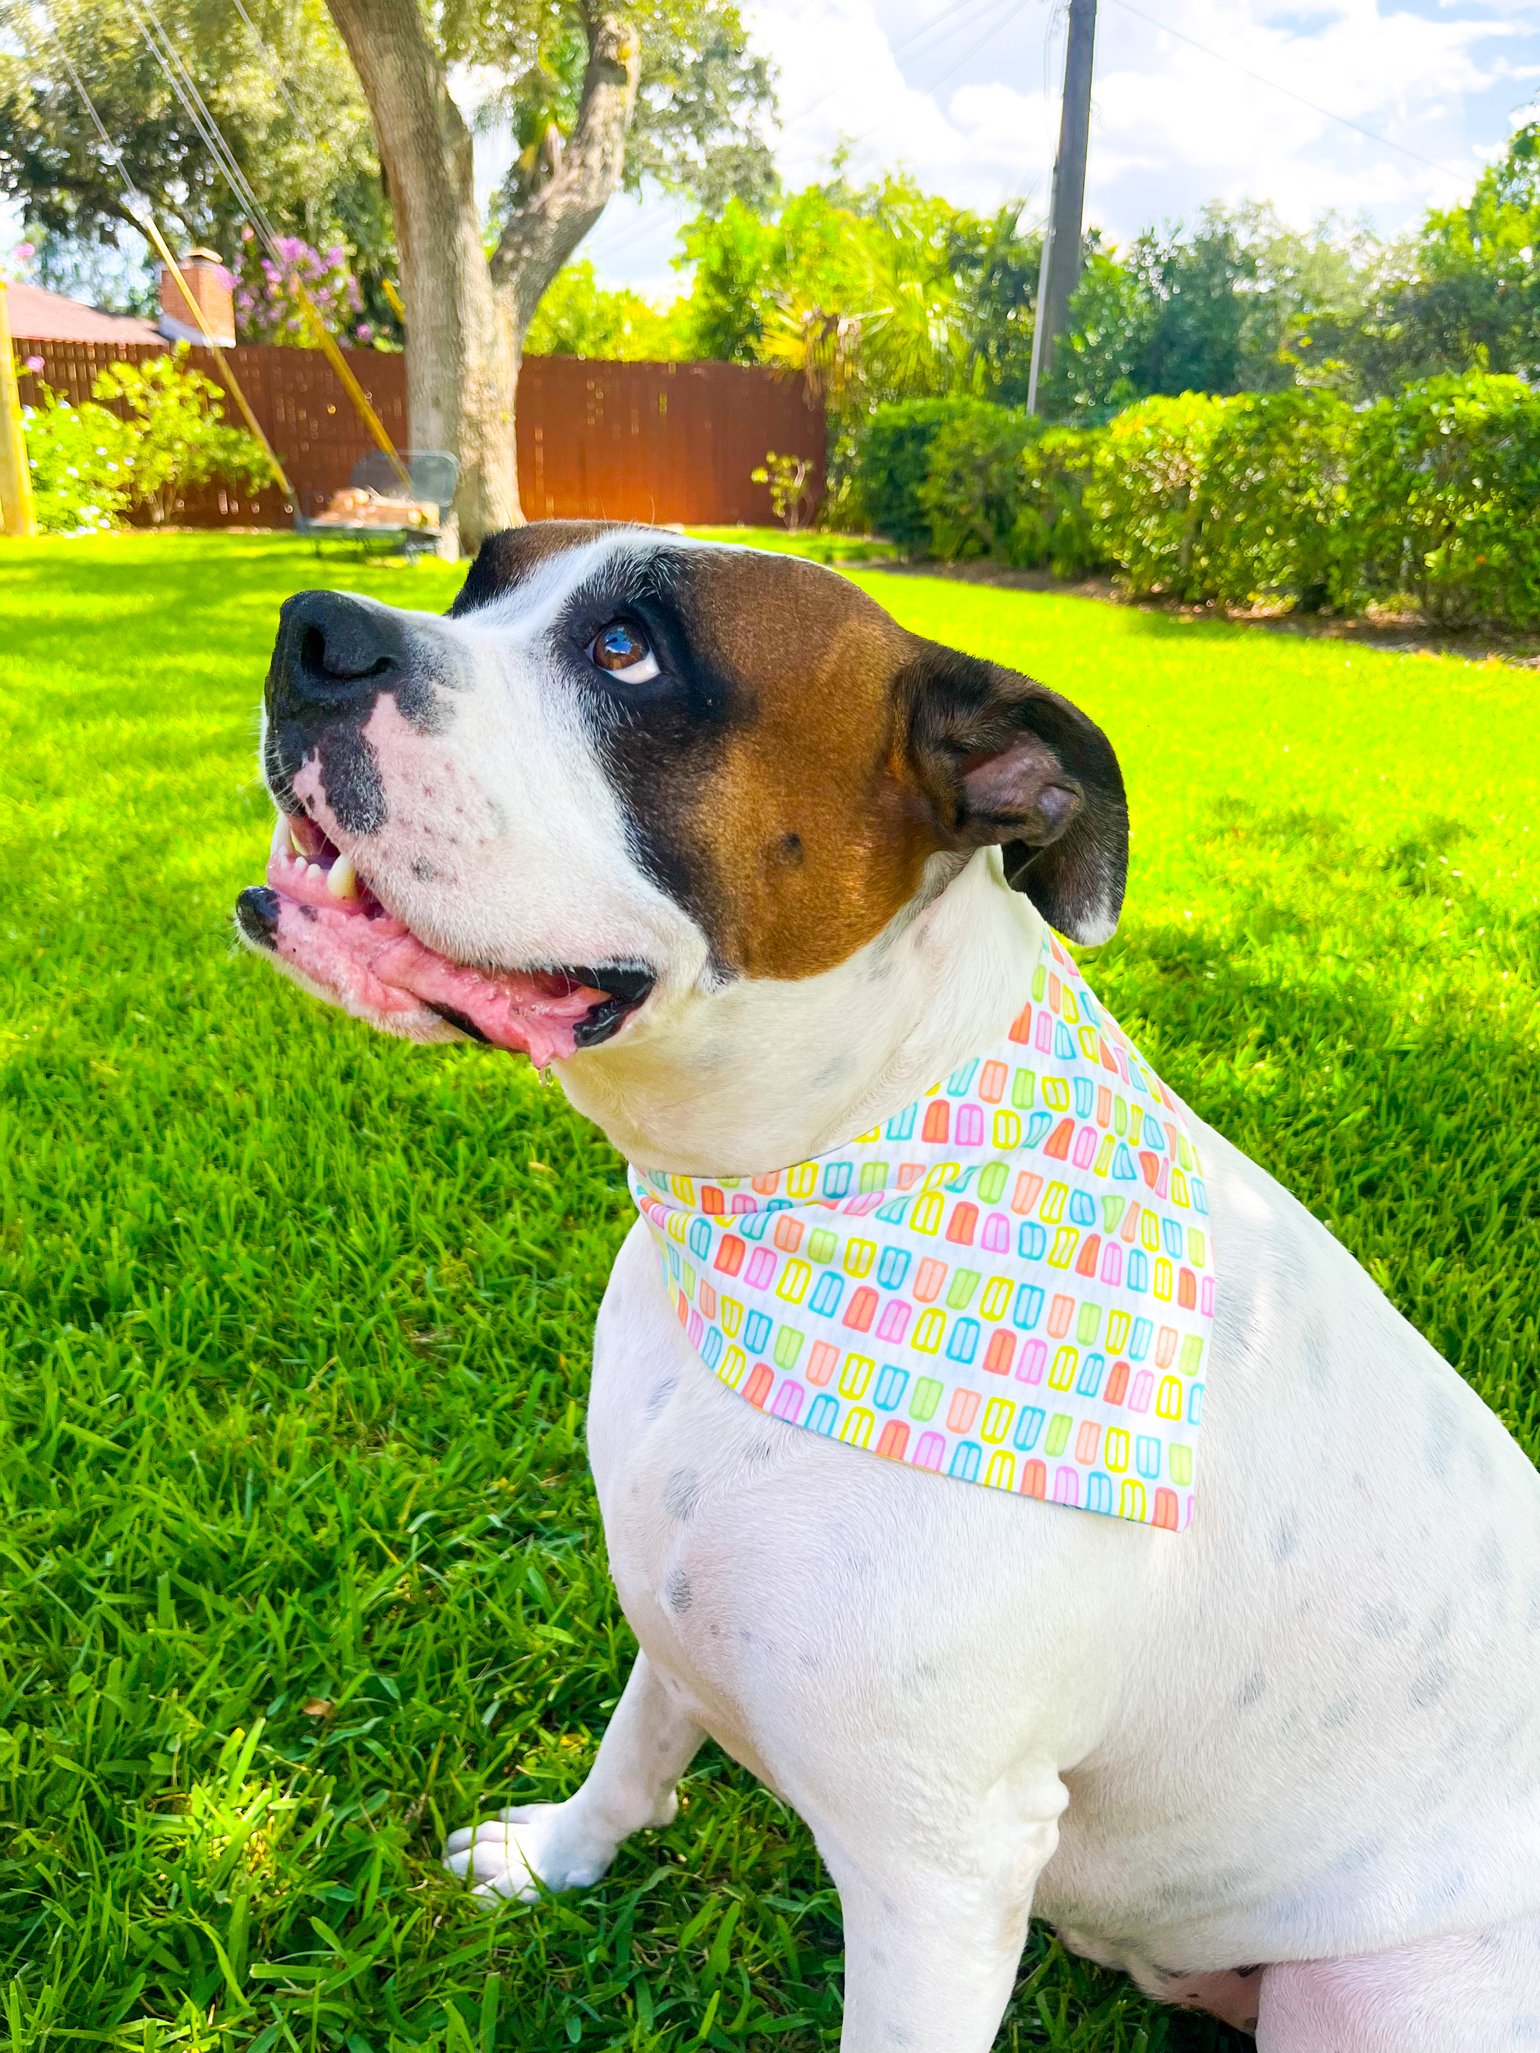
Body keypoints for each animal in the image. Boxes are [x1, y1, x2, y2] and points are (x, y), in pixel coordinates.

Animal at [238, 529, 1540, 2053]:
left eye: (631, 653)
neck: (793, 1185)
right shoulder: (675, 1604)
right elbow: (634, 1744)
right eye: (479, 582)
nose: (315, 631)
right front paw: (558, 1856)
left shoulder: (936, 1882)